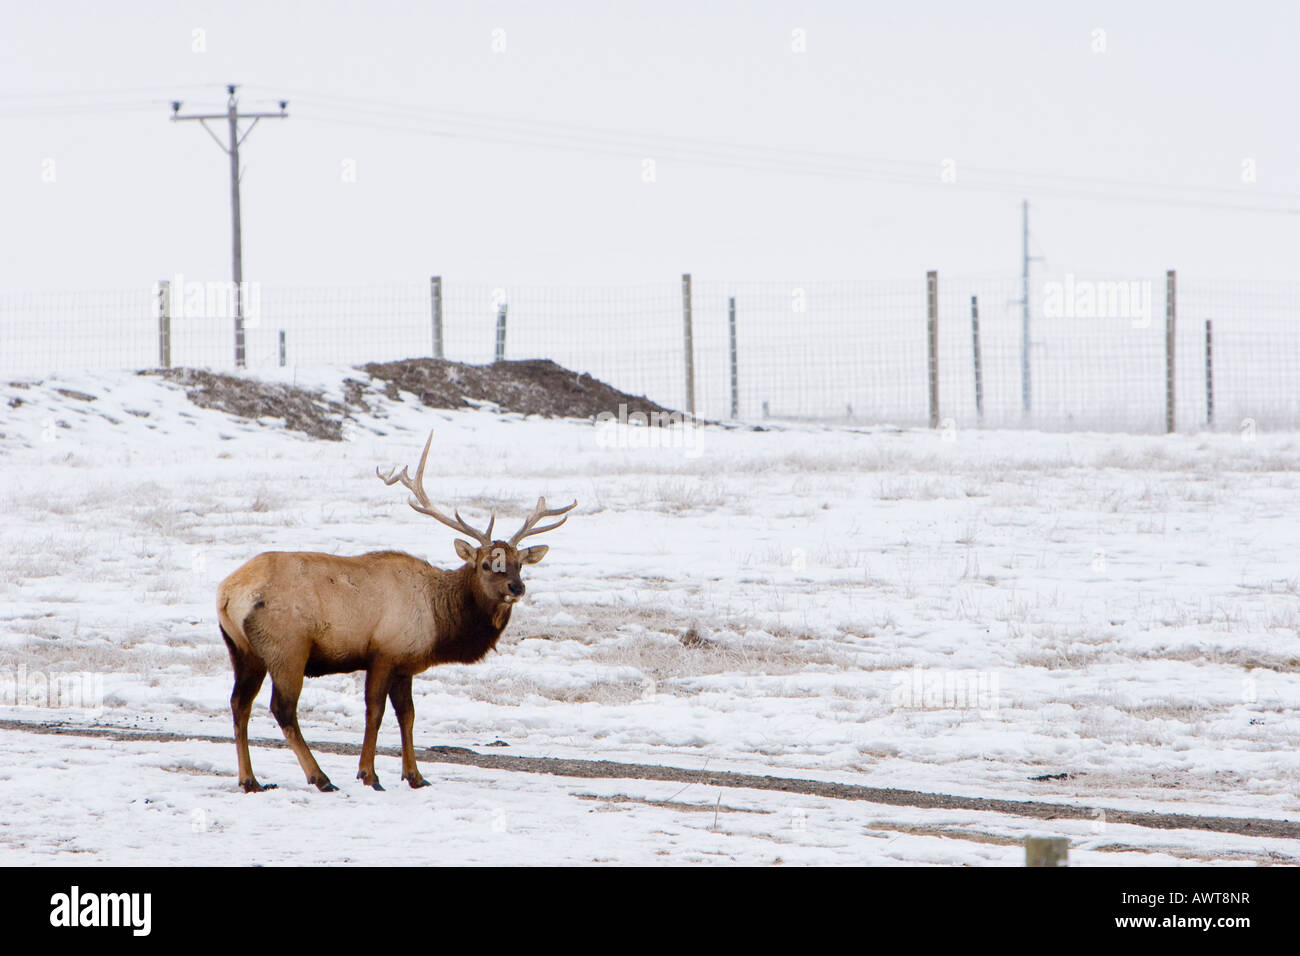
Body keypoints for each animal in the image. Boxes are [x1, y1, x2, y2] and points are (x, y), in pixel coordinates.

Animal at [216, 431, 576, 793]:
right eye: (486, 564)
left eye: (519, 564)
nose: (517, 588)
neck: (440, 622)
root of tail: (228, 593)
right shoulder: (384, 652)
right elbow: (374, 713)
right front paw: (369, 774)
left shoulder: (406, 662)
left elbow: (408, 715)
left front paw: (414, 775)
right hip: (287, 648)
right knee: (283, 709)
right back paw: (320, 777)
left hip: (243, 650)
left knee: (239, 703)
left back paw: (250, 779)